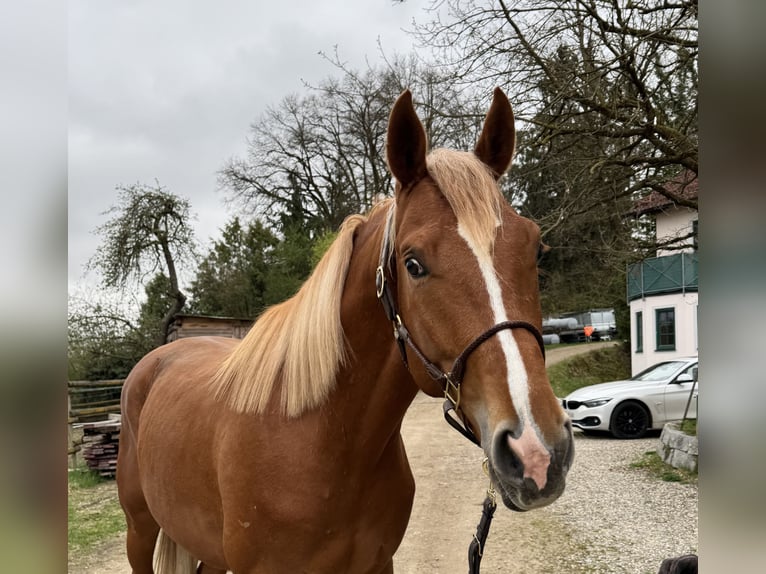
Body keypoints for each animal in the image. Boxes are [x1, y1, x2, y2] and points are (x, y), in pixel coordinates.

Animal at [116, 87, 574, 574]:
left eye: (535, 248)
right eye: (413, 264)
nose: (537, 451)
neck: (319, 441)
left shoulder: (378, 563)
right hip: (140, 533)